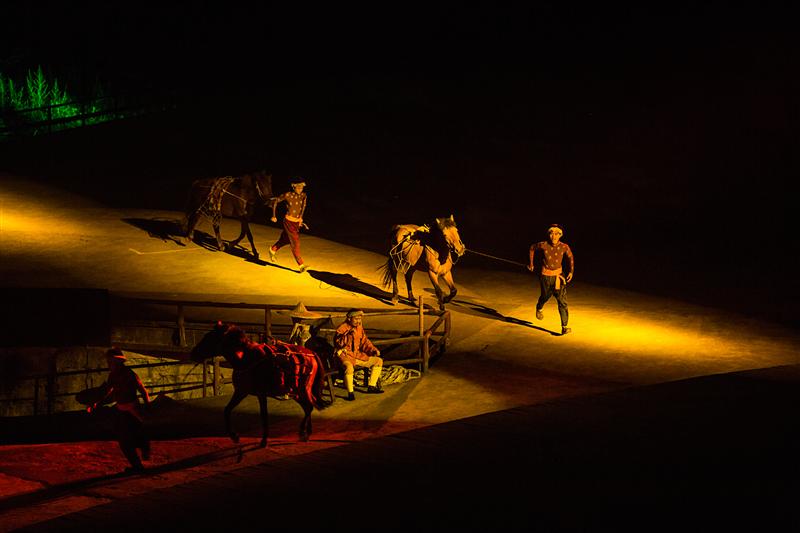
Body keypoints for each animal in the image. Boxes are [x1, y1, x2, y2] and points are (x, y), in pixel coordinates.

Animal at [191, 322, 328, 446]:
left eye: (209, 338)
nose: (194, 352)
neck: (246, 359)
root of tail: (312, 354)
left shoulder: (261, 394)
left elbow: (264, 416)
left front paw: (264, 440)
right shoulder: (241, 392)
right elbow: (227, 410)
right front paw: (234, 436)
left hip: (302, 390)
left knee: (309, 407)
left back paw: (303, 432)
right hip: (296, 392)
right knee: (308, 407)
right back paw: (306, 433)